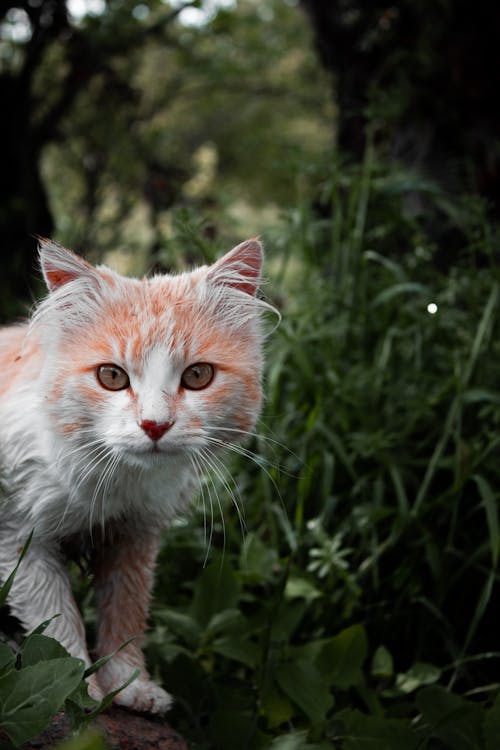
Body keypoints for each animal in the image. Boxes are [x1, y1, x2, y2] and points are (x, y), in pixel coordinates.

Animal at [0, 238, 272, 712]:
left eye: (198, 376)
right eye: (111, 376)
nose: (155, 425)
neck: (117, 483)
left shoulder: (134, 535)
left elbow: (126, 614)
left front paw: (132, 686)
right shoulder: (21, 538)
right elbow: (57, 617)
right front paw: (79, 689)